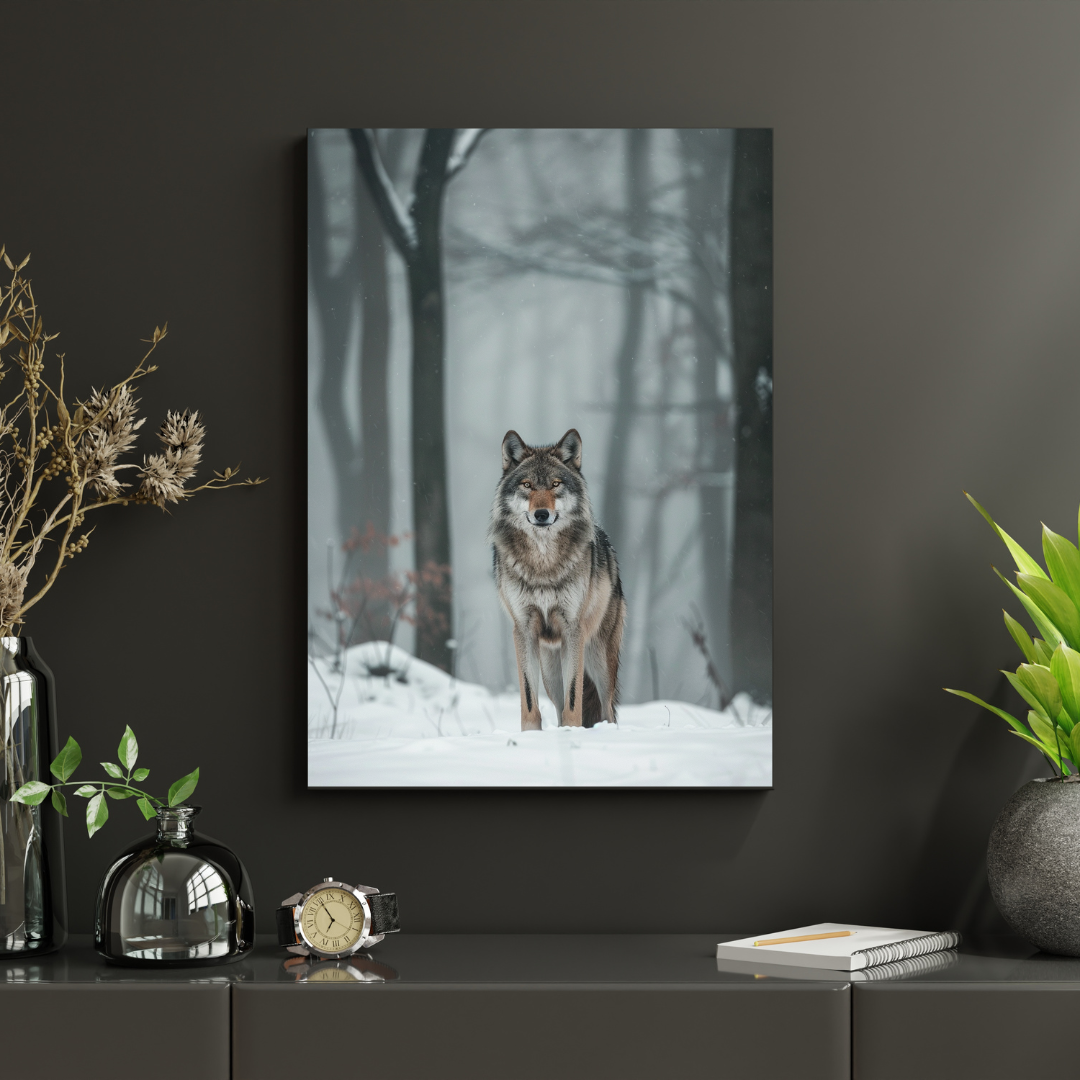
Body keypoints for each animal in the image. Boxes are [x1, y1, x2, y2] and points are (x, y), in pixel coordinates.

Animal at [489, 428, 626, 731]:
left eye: (555, 484)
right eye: (527, 485)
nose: (541, 514)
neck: (543, 562)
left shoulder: (573, 629)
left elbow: (574, 698)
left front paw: (573, 732)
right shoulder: (523, 630)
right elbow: (529, 698)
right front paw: (530, 735)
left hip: (598, 659)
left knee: (607, 709)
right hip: (551, 669)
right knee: (559, 703)